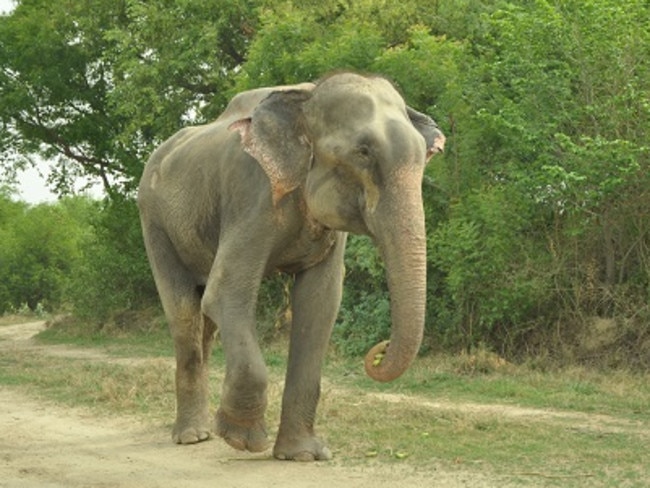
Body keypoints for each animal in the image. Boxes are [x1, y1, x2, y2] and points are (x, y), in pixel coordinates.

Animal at [135, 72, 442, 462]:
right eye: (363, 151)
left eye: (423, 157)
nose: (379, 350)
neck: (306, 97)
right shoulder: (252, 191)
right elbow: (225, 293)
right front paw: (242, 440)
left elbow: (320, 303)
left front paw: (304, 455)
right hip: (154, 221)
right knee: (185, 311)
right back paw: (192, 436)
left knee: (203, 321)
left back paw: (200, 433)